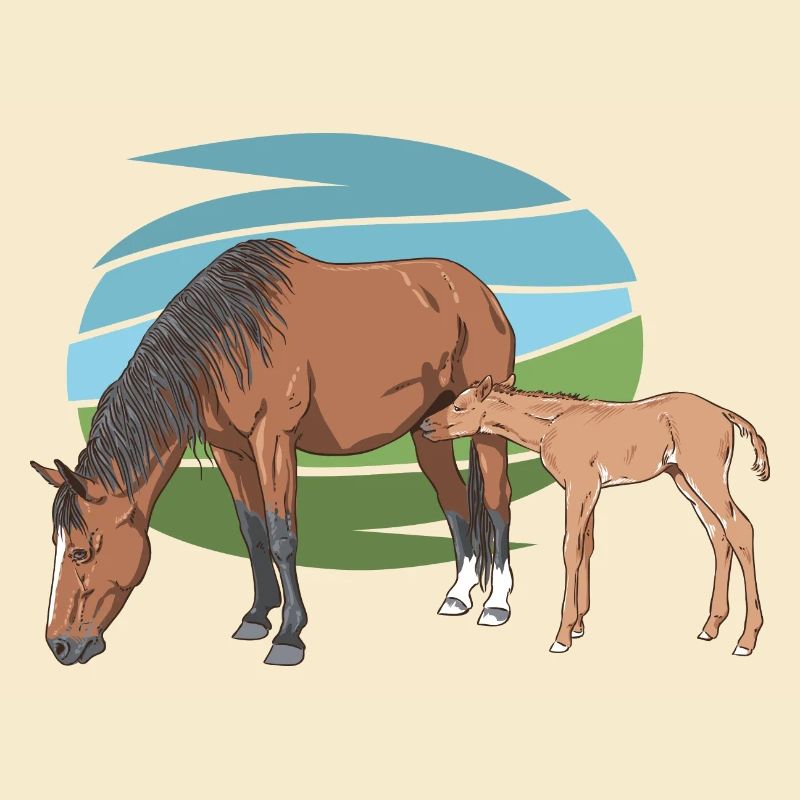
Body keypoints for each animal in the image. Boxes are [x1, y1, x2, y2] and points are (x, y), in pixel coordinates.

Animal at [32, 239, 516, 666]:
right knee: (453, 501)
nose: (60, 646)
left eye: (80, 551)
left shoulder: (274, 439)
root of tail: (476, 290)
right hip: (428, 429)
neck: (229, 339)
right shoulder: (231, 451)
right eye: (56, 543)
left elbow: (283, 536)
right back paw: (457, 595)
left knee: (496, 501)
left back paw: (496, 604)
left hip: (485, 425)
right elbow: (253, 532)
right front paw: (255, 618)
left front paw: (289, 636)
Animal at [421, 375, 769, 656]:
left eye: (459, 407)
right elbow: (586, 546)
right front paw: (578, 626)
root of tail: (725, 413)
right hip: (683, 479)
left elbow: (571, 549)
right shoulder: (590, 490)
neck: (554, 424)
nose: (424, 425)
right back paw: (711, 627)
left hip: (704, 477)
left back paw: (746, 640)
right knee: (718, 534)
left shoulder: (580, 487)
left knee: (740, 528)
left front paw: (562, 636)